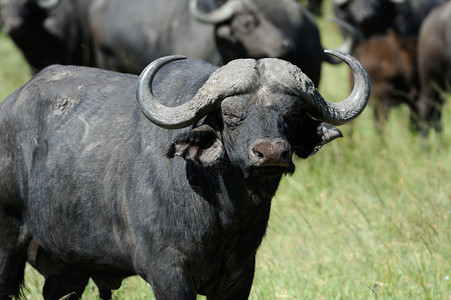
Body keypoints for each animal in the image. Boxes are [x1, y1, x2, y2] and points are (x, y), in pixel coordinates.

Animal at [0, 50, 370, 298]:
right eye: (231, 115)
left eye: (291, 113)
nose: (270, 152)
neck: (224, 214)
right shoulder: (169, 274)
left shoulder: (240, 277)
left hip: (68, 269)